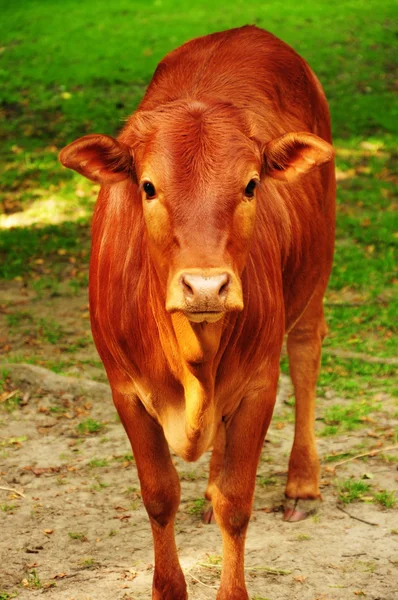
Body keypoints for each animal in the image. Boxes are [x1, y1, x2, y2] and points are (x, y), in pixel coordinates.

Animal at [60, 25, 334, 600]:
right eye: (148, 186)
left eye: (251, 184)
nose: (206, 286)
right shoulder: (125, 390)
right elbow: (160, 494)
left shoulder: (258, 385)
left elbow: (237, 503)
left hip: (315, 273)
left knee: (306, 354)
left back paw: (302, 483)